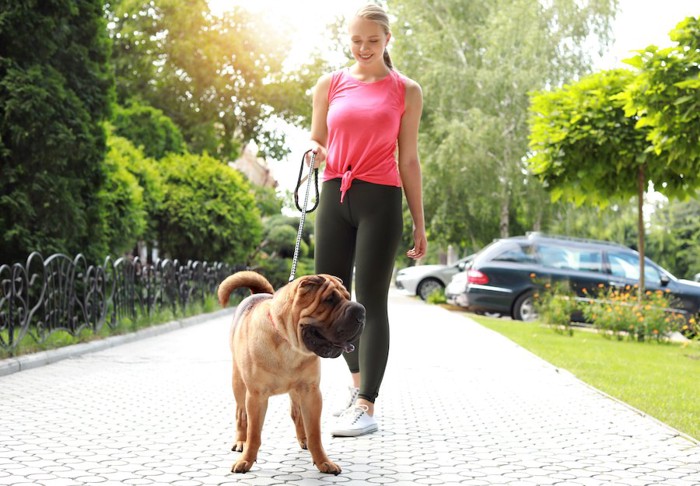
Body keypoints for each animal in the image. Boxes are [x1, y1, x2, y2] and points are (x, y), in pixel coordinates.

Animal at [216, 272, 364, 476]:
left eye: (348, 296)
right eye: (329, 299)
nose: (361, 312)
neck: (289, 344)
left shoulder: (311, 392)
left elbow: (314, 432)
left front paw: (323, 462)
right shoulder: (256, 396)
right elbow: (254, 433)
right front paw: (246, 460)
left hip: (296, 391)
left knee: (296, 413)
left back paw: (303, 440)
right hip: (238, 384)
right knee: (241, 414)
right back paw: (240, 441)